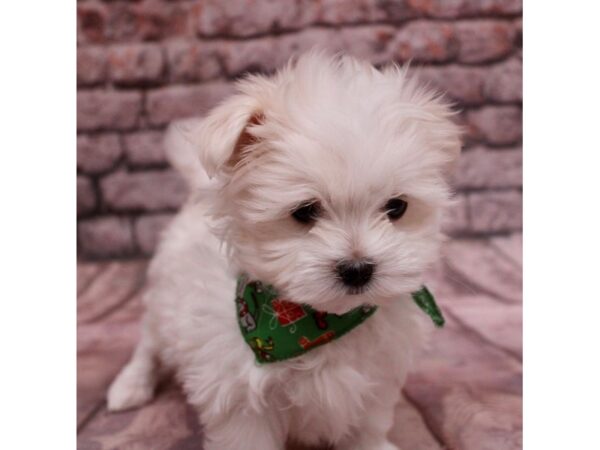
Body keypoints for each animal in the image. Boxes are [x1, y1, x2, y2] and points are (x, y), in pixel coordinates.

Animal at [108, 51, 462, 448]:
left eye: (396, 207)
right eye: (304, 212)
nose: (358, 269)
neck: (313, 324)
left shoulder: (377, 378)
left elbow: (367, 425)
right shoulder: (240, 398)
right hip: (163, 297)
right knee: (148, 342)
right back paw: (130, 386)